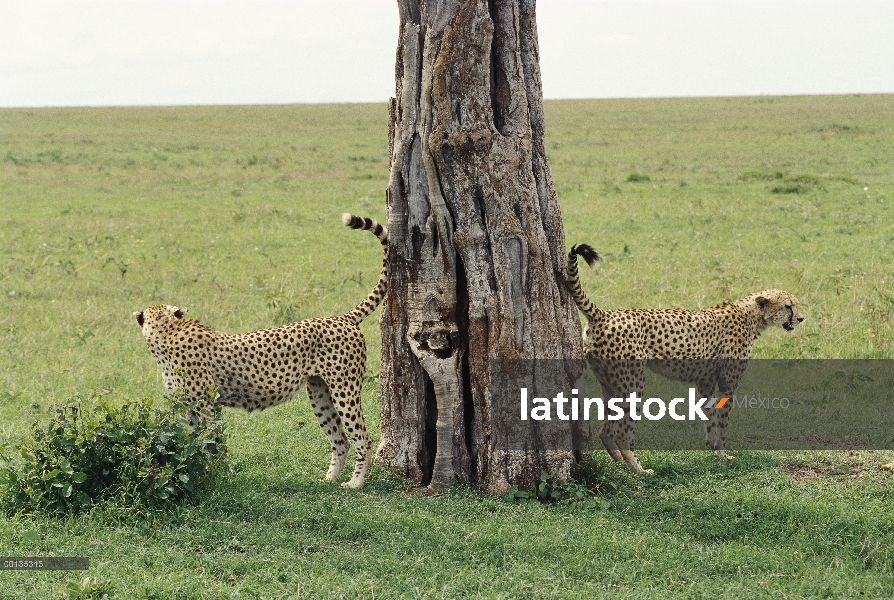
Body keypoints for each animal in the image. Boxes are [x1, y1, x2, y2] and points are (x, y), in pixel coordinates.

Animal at [135, 214, 386, 488]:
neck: (168, 332)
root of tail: (342, 317)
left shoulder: (207, 405)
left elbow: (215, 441)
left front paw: (222, 474)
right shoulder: (188, 406)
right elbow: (191, 442)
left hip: (345, 389)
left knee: (363, 438)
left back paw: (355, 482)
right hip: (319, 392)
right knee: (340, 439)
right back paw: (329, 478)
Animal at [568, 244, 804, 474]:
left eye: (795, 304)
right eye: (787, 306)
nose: (801, 318)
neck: (751, 317)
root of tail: (604, 314)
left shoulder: (705, 381)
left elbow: (709, 415)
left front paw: (712, 449)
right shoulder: (727, 383)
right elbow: (722, 420)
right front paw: (723, 453)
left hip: (608, 381)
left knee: (605, 430)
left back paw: (619, 461)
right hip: (633, 382)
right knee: (622, 433)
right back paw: (639, 469)